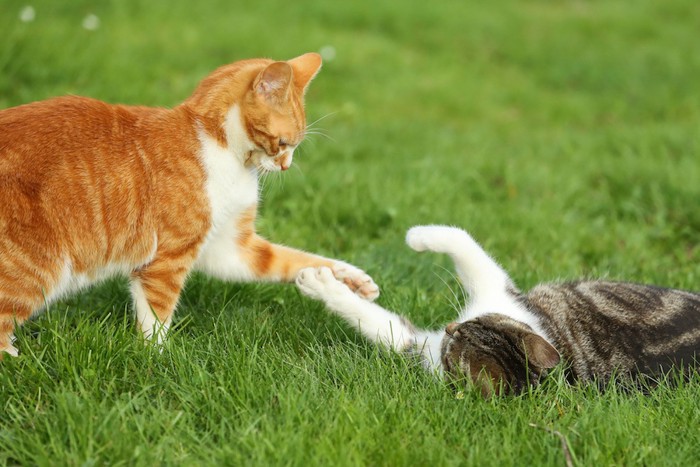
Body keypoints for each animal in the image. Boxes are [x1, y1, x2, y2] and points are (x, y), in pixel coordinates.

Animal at [0, 53, 380, 358]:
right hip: (37, 268)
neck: (222, 148)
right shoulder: (168, 259)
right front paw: (158, 359)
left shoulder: (231, 248)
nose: (286, 166)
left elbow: (293, 259)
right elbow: (156, 317)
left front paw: (349, 278)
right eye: (284, 143)